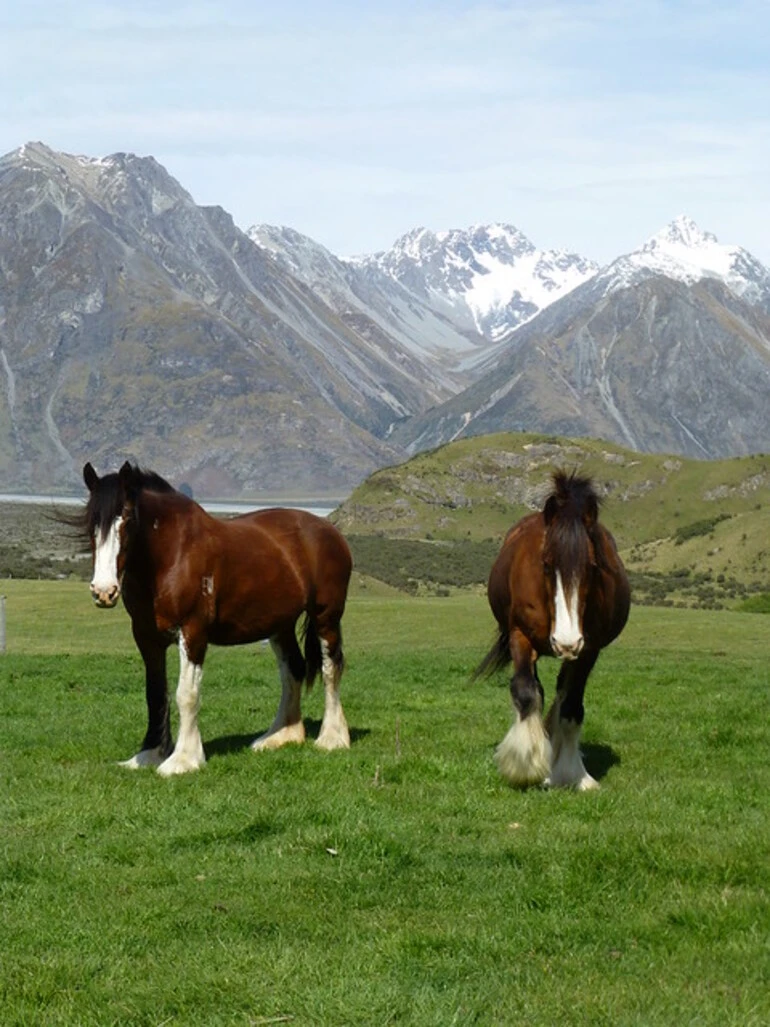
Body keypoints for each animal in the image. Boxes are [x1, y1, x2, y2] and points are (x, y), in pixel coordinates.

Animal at [75, 462, 353, 772]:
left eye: (126, 519)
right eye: (90, 522)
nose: (104, 591)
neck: (173, 554)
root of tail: (329, 531)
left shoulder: (193, 632)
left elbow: (187, 694)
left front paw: (183, 760)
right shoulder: (146, 637)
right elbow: (155, 692)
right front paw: (149, 754)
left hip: (326, 616)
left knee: (331, 667)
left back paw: (332, 738)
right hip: (281, 625)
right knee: (293, 669)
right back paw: (281, 735)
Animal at [476, 470, 632, 788]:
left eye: (592, 565)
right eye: (546, 565)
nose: (565, 642)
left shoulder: (589, 649)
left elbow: (571, 707)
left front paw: (573, 774)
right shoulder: (520, 635)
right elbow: (526, 692)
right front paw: (525, 766)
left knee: (562, 691)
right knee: (538, 689)